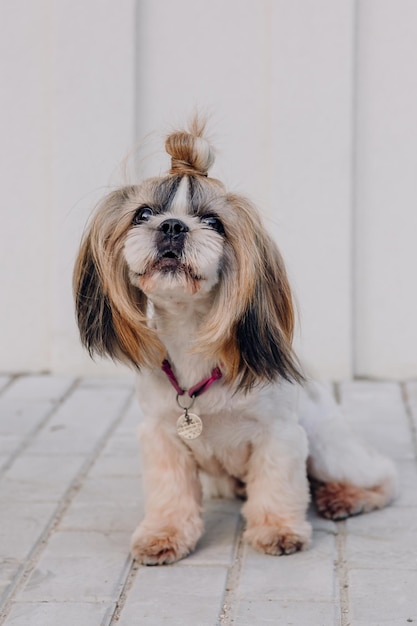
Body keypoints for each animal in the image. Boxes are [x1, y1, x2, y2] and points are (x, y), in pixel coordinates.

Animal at [74, 116, 396, 560]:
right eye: (144, 213)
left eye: (213, 222)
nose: (172, 225)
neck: (193, 339)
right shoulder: (161, 435)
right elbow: (171, 492)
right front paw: (164, 534)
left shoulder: (280, 435)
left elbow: (277, 485)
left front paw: (278, 530)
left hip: (327, 445)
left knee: (380, 477)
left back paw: (344, 496)